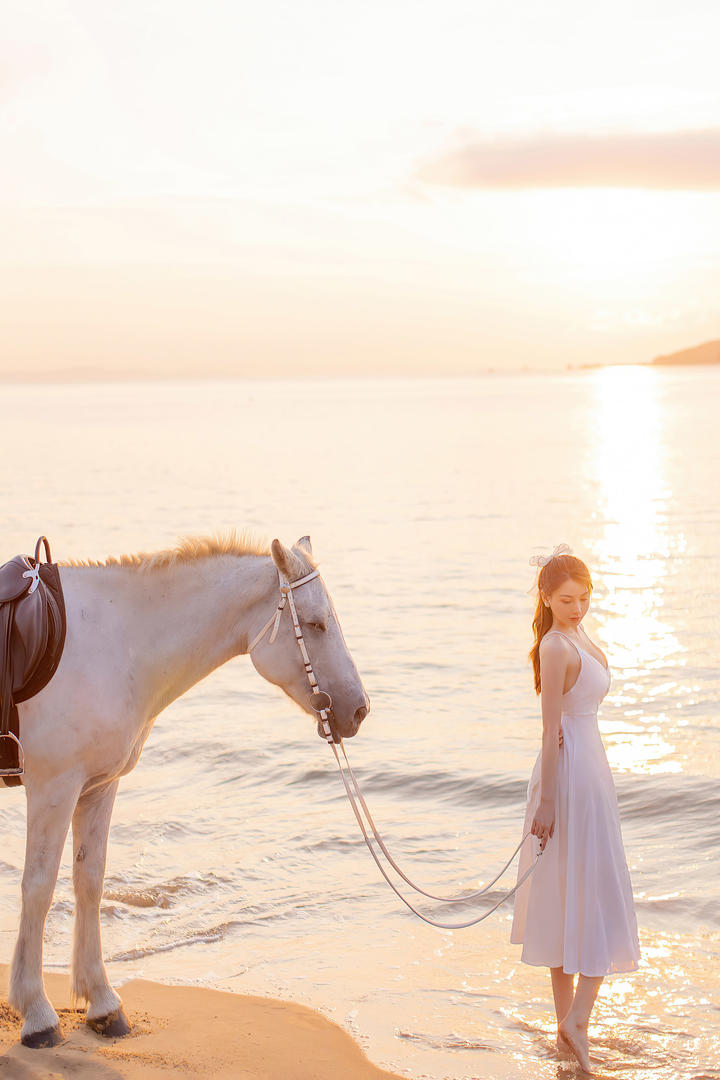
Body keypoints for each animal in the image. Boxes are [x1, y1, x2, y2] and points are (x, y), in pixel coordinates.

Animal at [3, 532, 369, 1048]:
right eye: (315, 623)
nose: (359, 710)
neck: (112, 639)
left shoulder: (97, 788)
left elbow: (89, 881)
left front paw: (103, 1004)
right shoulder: (53, 787)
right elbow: (38, 887)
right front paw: (37, 1014)